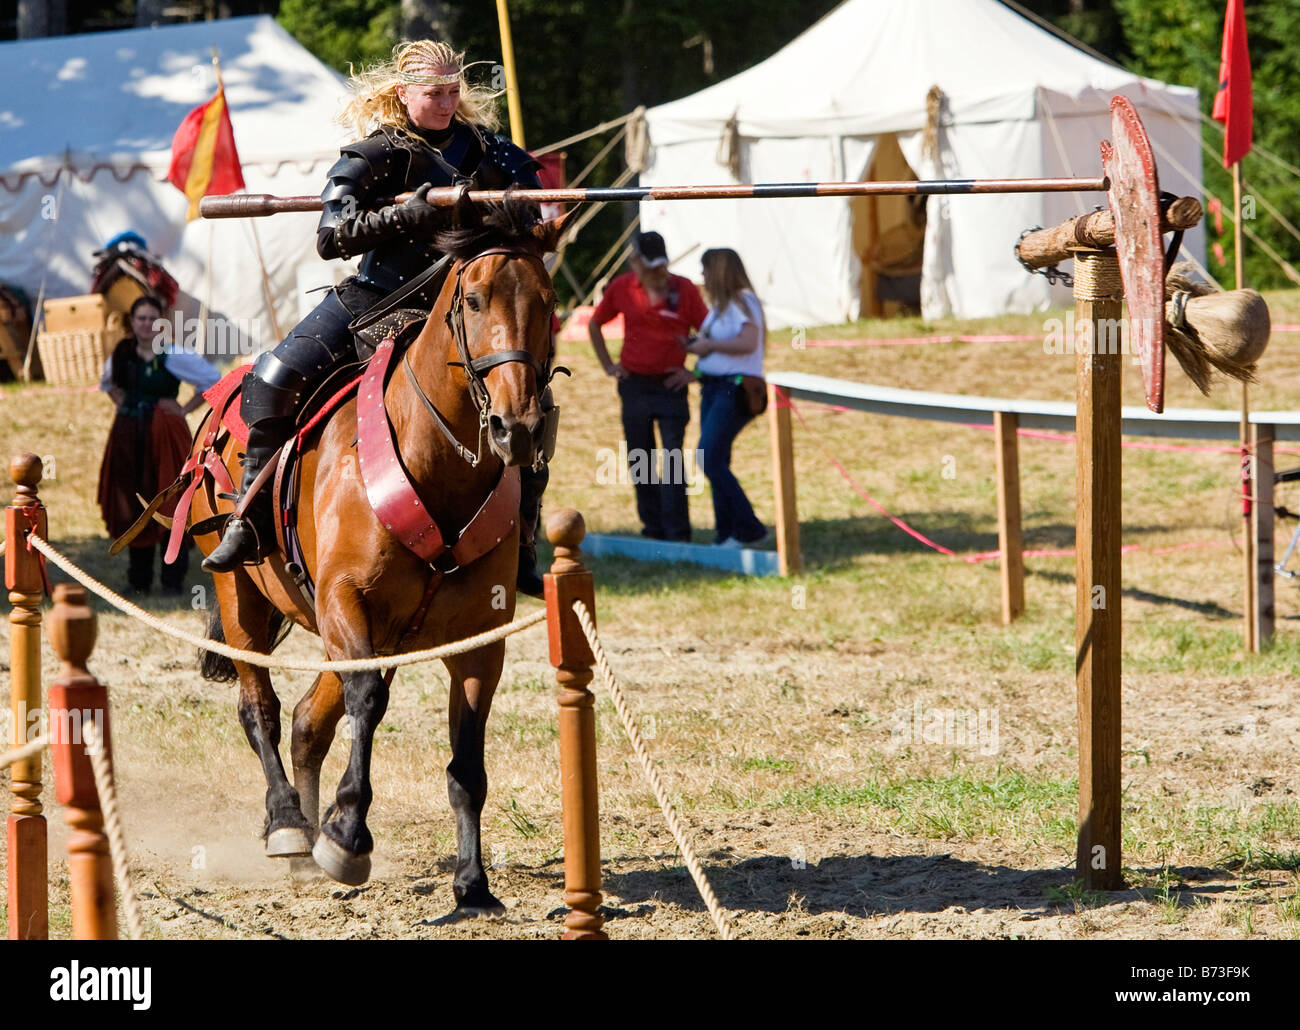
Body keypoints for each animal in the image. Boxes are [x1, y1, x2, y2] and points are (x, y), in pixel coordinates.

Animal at [189, 201, 569, 910]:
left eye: (549, 300)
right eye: (473, 299)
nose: (519, 427)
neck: (435, 463)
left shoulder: (478, 642)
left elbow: (466, 762)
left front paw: (472, 884)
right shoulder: (347, 603)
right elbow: (366, 702)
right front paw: (345, 835)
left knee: (308, 721)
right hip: (242, 598)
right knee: (262, 709)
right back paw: (289, 824)